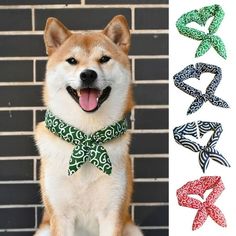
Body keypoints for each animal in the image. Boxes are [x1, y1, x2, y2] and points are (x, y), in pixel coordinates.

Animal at [34, 15, 143, 236]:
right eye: (72, 61)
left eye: (104, 59)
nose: (88, 74)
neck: (86, 135)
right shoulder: (61, 216)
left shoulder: (112, 213)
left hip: (133, 228)